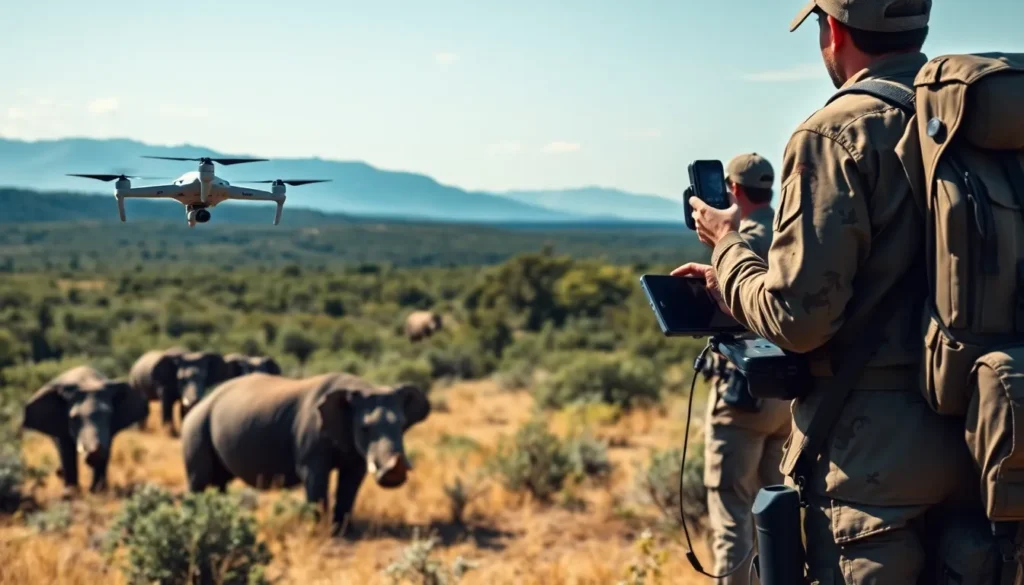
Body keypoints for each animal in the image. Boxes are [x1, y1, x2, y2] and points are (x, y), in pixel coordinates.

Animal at [22, 366, 149, 495]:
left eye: (109, 415)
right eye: (74, 418)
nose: (93, 451)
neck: (87, 382)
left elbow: (107, 449)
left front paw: (98, 491)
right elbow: (67, 450)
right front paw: (70, 493)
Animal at [181, 372, 430, 533]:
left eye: (402, 425)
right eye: (364, 428)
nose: (393, 476)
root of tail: (200, 402)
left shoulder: (355, 456)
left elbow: (349, 487)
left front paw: (343, 531)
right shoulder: (311, 458)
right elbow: (316, 484)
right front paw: (319, 532)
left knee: (220, 480)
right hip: (196, 424)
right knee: (200, 479)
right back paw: (196, 519)